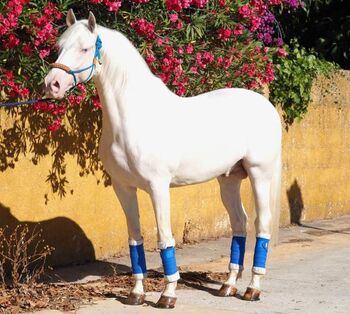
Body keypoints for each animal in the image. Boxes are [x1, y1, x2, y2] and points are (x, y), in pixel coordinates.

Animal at [45, 9, 284, 310]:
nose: (52, 84)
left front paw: (168, 295)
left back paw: (253, 288)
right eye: (60, 46)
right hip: (228, 180)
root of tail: (265, 105)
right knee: (239, 223)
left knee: (261, 224)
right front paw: (136, 294)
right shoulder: (123, 188)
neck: (134, 117)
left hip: (259, 174)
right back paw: (228, 286)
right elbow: (135, 238)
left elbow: (164, 238)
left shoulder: (158, 188)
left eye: (85, 48)